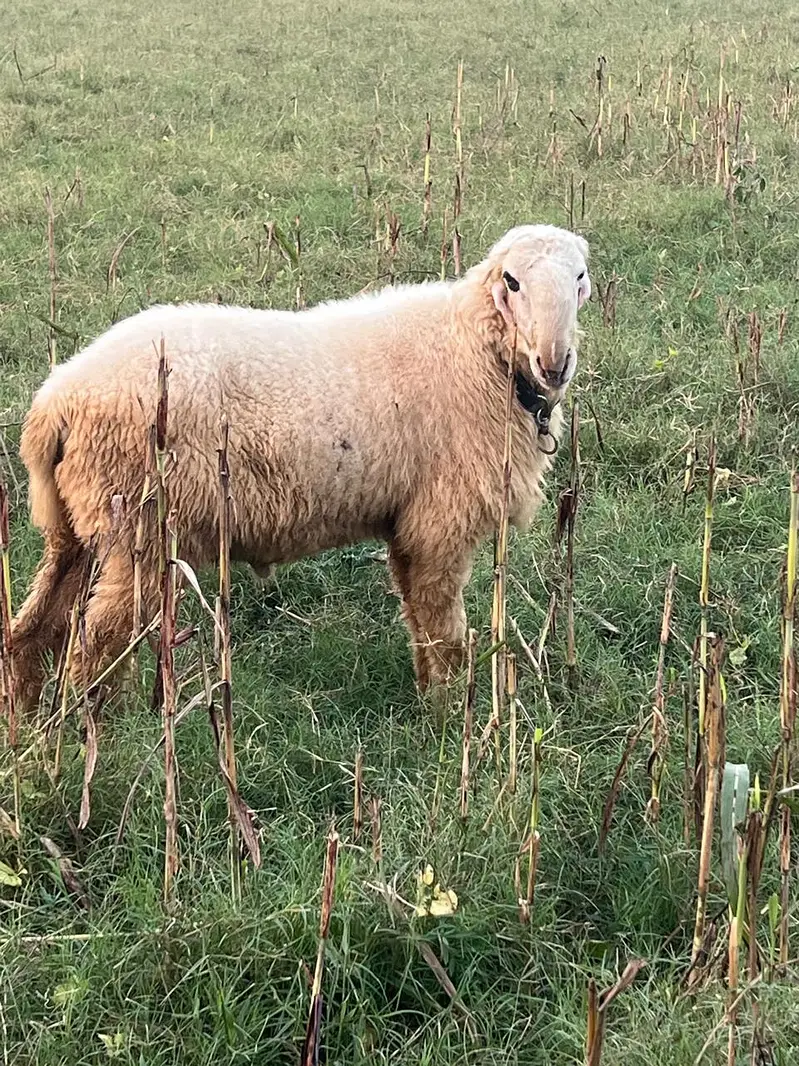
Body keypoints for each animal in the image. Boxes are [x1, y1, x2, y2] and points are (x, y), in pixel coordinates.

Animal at [11, 223, 590, 710]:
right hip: (142, 526)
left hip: (80, 527)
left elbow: (419, 620)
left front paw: (430, 702)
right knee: (96, 645)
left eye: (580, 278)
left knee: (32, 632)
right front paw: (448, 718)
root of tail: (56, 399)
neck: (475, 350)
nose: (554, 362)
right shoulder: (439, 522)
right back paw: (101, 733)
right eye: (512, 281)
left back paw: (27, 721)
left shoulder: (407, 524)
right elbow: (443, 629)